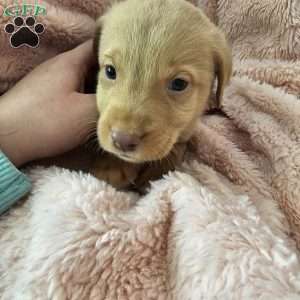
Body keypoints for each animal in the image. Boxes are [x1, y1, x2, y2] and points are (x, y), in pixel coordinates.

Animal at [91, 0, 232, 190]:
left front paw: (158, 172)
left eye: (179, 84)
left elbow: (178, 145)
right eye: (110, 71)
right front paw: (112, 164)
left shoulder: (188, 128)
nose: (123, 140)